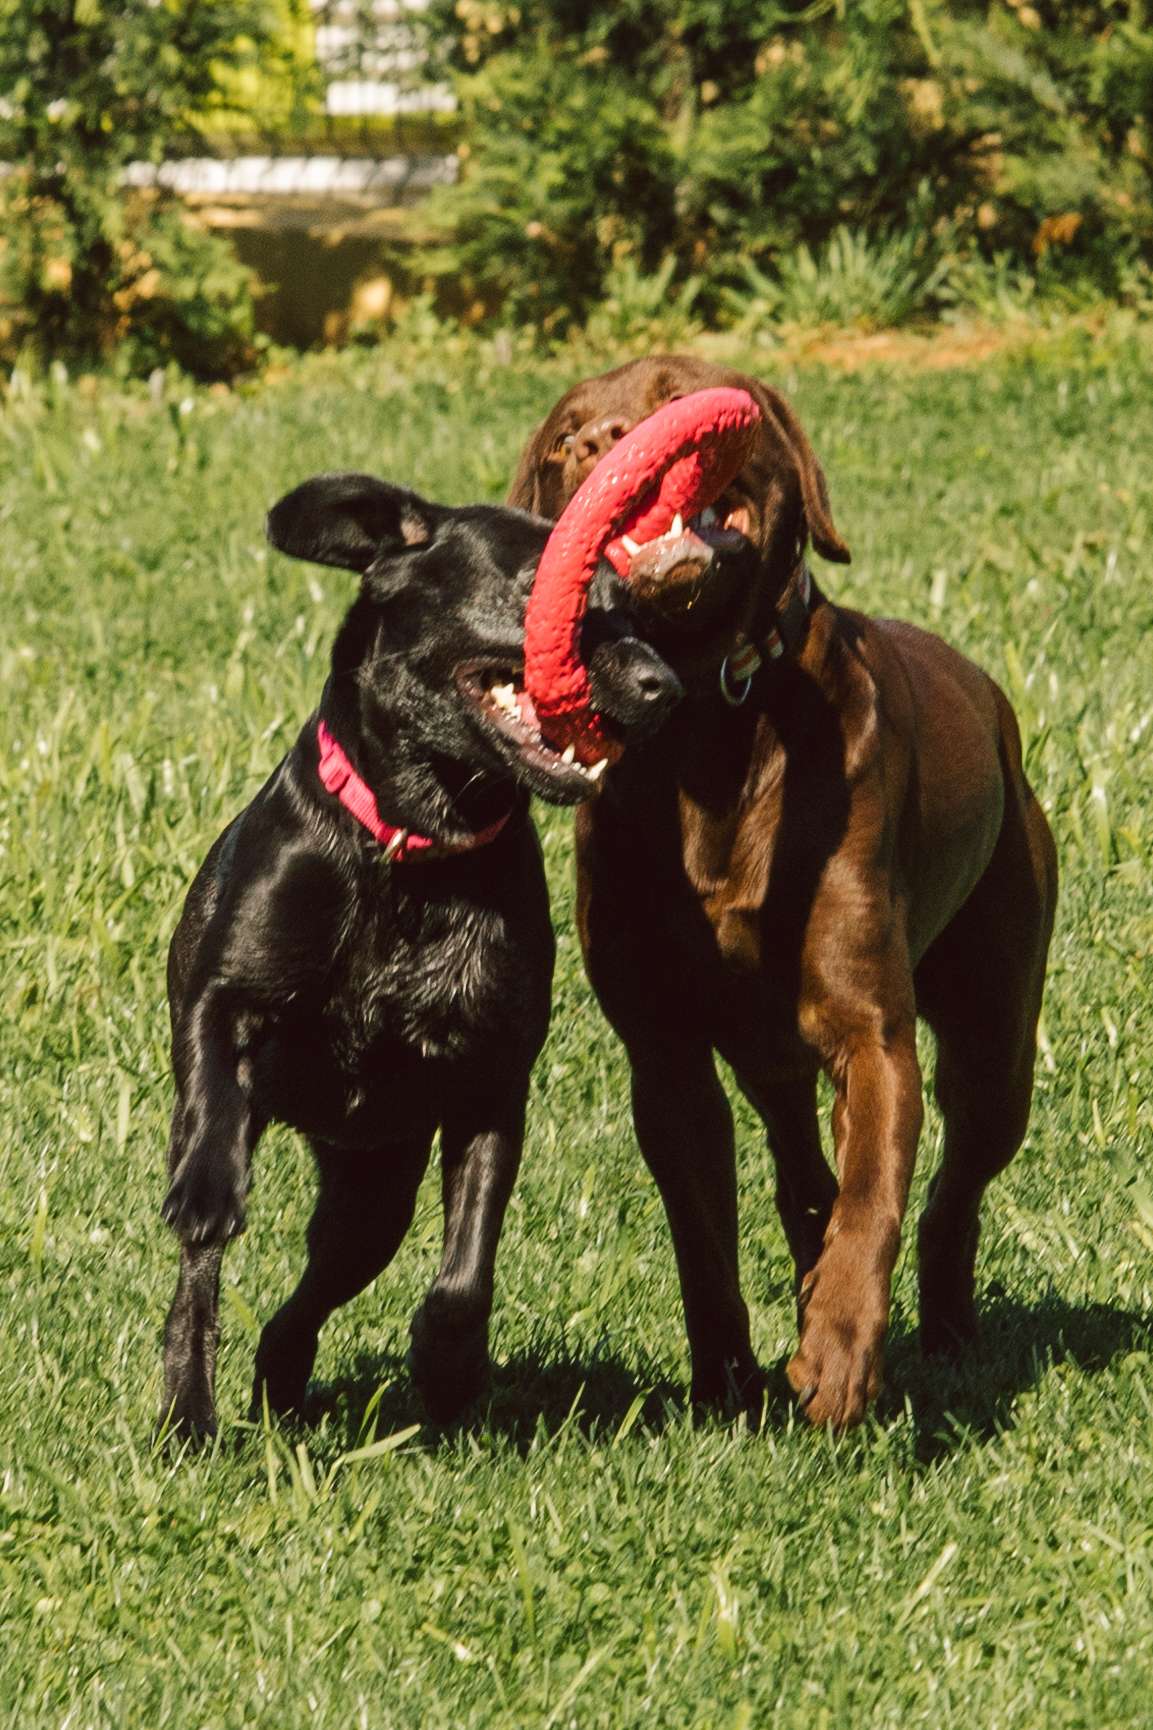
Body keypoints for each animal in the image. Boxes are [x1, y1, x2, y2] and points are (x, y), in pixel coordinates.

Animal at [157, 470, 678, 1432]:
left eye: (630, 611)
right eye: (541, 591)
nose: (664, 686)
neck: (414, 847)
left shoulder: (490, 1077)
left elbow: (466, 1271)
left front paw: (446, 1364)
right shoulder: (224, 989)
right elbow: (212, 1062)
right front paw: (208, 1186)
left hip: (375, 1193)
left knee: (312, 1293)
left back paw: (280, 1380)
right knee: (198, 1288)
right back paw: (189, 1406)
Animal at [508, 358, 1052, 1425]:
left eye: (676, 388)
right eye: (559, 440)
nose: (598, 446)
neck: (707, 726)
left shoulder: (868, 1029)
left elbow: (876, 1190)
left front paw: (838, 1355)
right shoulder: (665, 1056)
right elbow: (702, 1238)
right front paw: (725, 1383)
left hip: (997, 1031)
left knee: (950, 1189)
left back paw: (943, 1331)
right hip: (771, 1060)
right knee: (804, 1176)